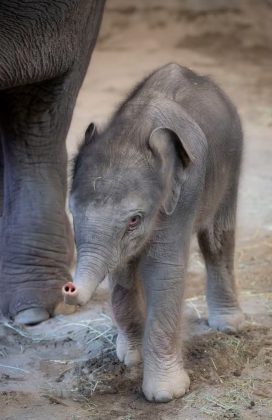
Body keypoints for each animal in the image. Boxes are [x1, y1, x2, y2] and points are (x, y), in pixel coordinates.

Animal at [63, 64, 244, 402]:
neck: (134, 130)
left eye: (135, 220)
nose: (68, 288)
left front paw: (166, 394)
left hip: (232, 159)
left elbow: (163, 271)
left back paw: (229, 325)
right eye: (72, 212)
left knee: (217, 237)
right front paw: (130, 358)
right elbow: (122, 270)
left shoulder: (182, 195)